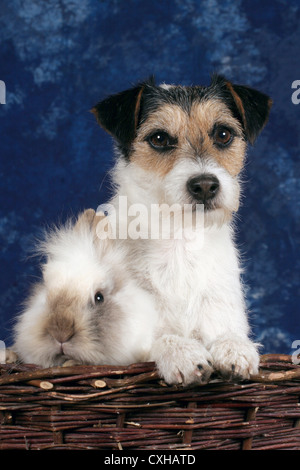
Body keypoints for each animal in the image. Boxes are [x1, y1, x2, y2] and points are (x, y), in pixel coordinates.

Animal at [92, 74, 272, 386]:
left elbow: (227, 331)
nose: (205, 185)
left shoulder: (221, 307)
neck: (180, 239)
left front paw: (234, 346)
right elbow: (157, 338)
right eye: (159, 138)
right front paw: (181, 353)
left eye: (223, 134)